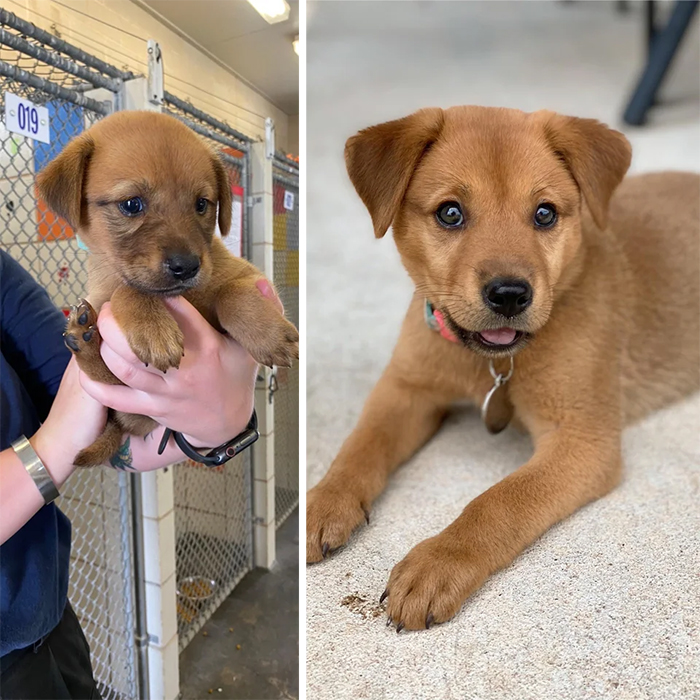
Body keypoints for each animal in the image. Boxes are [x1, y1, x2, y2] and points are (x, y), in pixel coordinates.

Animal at [36, 112, 298, 468]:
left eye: (202, 204)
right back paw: (83, 338)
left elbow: (231, 293)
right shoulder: (108, 298)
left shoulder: (253, 276)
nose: (187, 267)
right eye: (131, 204)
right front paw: (153, 329)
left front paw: (268, 334)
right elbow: (127, 290)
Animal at [308, 106, 700, 632]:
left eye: (545, 213)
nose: (510, 295)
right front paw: (325, 500)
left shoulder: (582, 439)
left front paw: (438, 561)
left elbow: (498, 502)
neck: (487, 363)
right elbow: (361, 446)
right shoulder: (406, 387)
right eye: (450, 213)